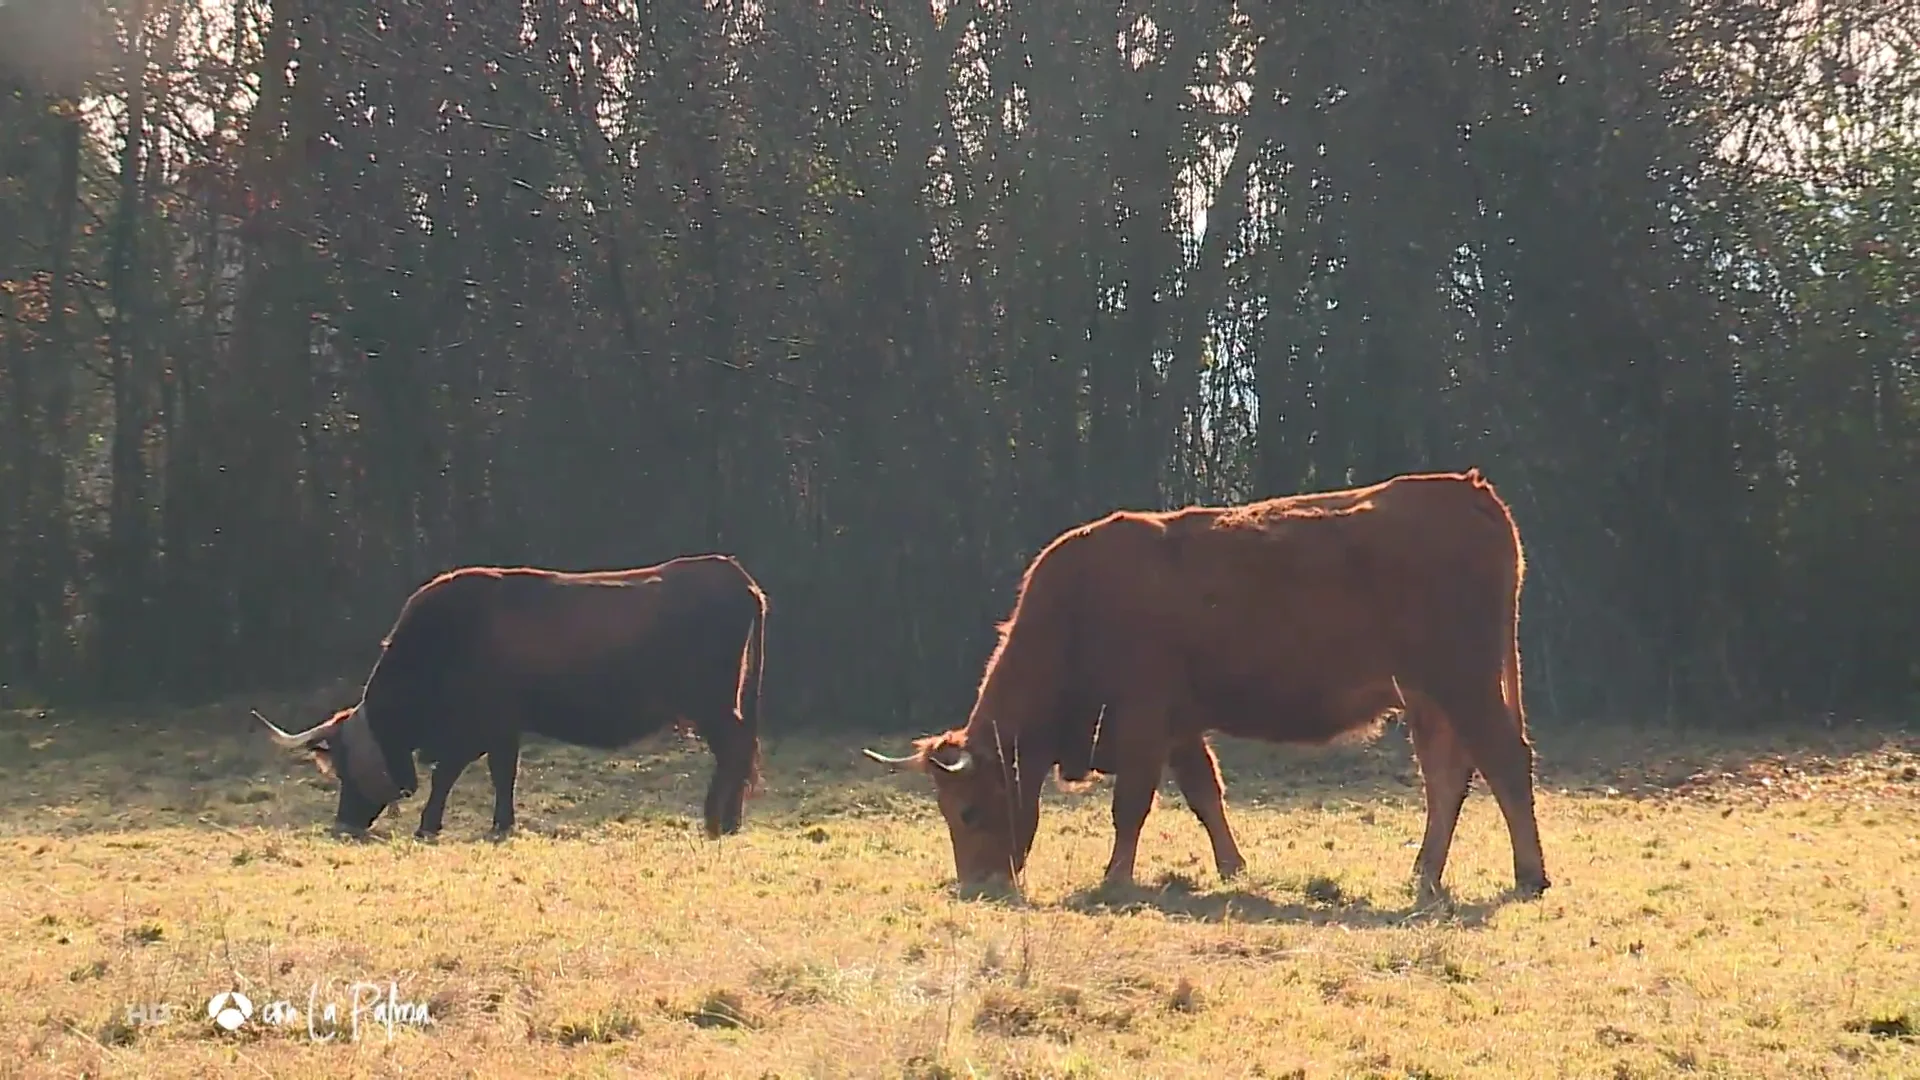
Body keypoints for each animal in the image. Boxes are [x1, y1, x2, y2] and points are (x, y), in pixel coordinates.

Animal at [253, 554, 769, 842]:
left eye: (343, 767)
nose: (343, 825)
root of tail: (736, 576)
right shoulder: (504, 727)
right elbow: (501, 774)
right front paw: (500, 823)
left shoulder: (482, 724)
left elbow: (453, 774)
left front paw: (431, 825)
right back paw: (728, 820)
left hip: (712, 704)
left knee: (736, 751)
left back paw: (717, 821)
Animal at [863, 469, 1548, 903]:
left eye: (971, 810)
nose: (978, 886)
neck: (1079, 606)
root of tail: (1469, 490)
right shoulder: (1181, 724)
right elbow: (1204, 794)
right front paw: (1233, 867)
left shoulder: (1143, 717)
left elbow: (1132, 804)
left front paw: (1116, 878)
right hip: (1429, 696)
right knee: (1448, 776)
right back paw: (1425, 875)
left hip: (1463, 682)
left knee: (1504, 763)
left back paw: (1529, 875)